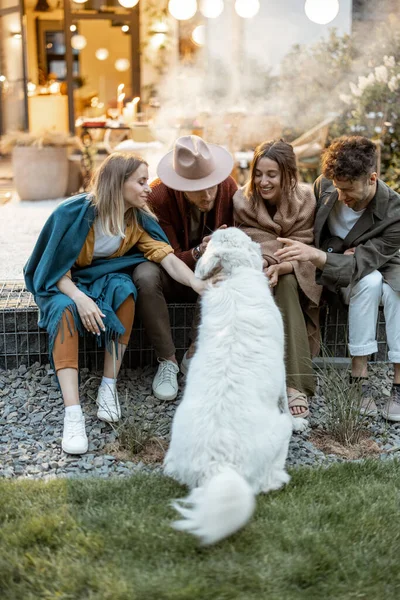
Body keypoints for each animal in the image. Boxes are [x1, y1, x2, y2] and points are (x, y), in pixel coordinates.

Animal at [162, 227, 306, 548]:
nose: (223, 226)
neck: (234, 275)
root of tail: (216, 465)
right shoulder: (280, 371)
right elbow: (285, 401)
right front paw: (299, 421)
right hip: (277, 436)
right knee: (267, 478)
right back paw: (280, 476)